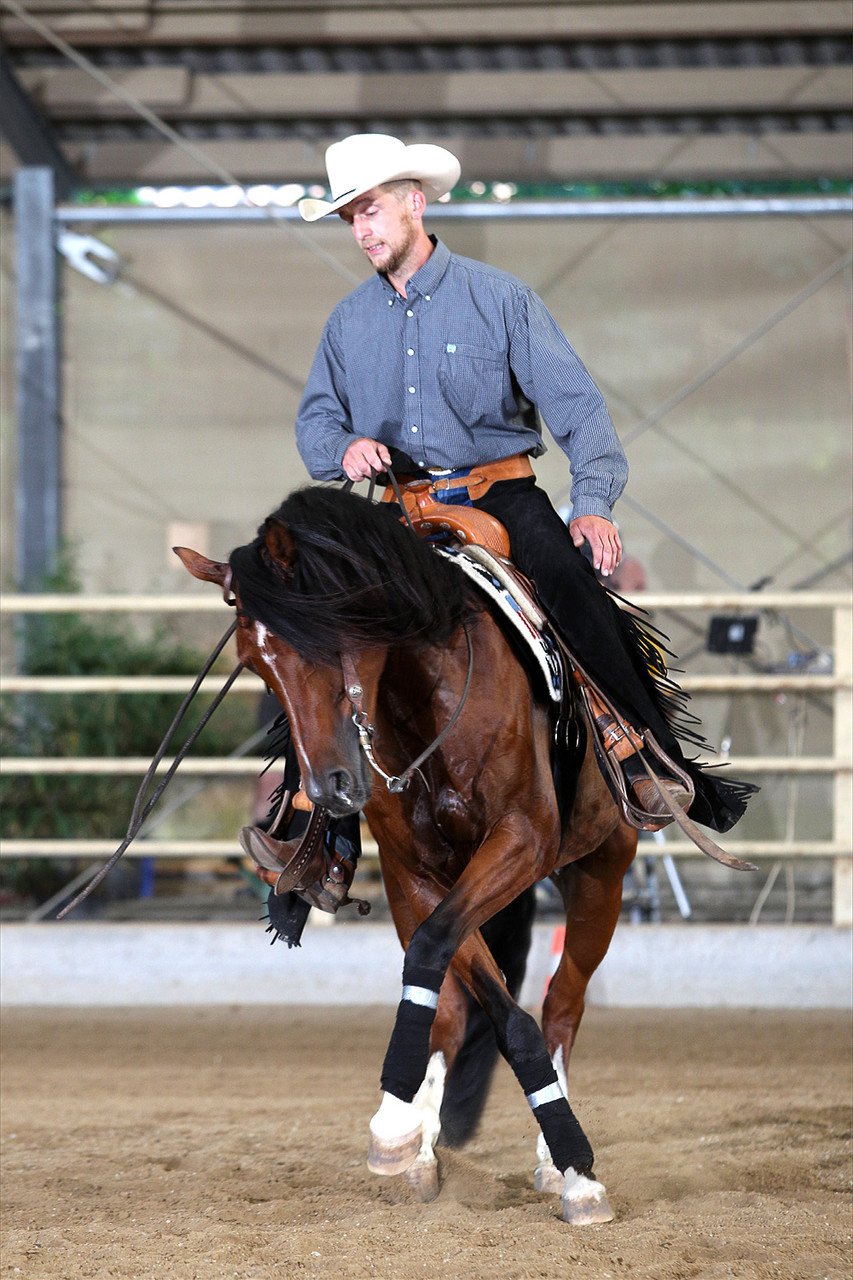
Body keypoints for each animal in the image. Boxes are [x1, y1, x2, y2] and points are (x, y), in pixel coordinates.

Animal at [174, 483, 637, 1223]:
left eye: (325, 639)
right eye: (256, 665)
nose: (328, 787)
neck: (428, 695)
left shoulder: (521, 841)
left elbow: (487, 989)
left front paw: (577, 1170)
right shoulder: (414, 876)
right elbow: (458, 985)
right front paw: (400, 1131)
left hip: (601, 874)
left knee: (564, 1003)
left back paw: (550, 1164)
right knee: (454, 1011)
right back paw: (423, 1147)